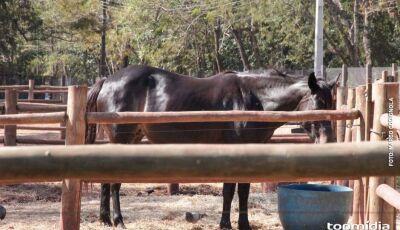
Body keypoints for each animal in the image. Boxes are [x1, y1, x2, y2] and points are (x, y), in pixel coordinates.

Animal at [84, 64, 338, 230]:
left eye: (332, 103)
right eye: (319, 102)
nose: (328, 141)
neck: (252, 99)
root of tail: (107, 80)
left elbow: (242, 191)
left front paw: (242, 224)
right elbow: (230, 191)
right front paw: (227, 224)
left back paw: (105, 219)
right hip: (122, 138)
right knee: (114, 183)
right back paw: (118, 220)